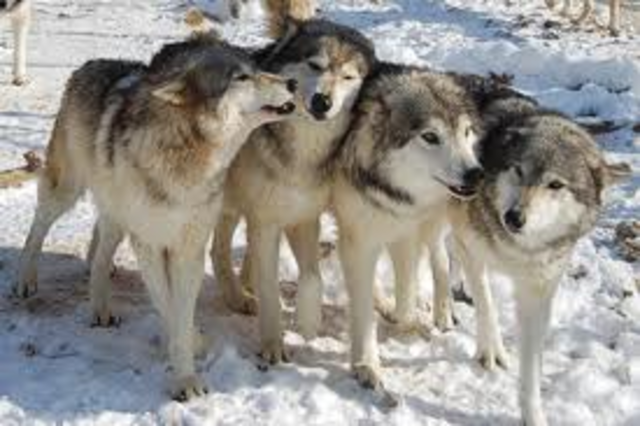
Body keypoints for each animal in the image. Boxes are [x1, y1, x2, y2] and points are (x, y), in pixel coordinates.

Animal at [15, 36, 297, 400]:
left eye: (255, 68)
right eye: (241, 78)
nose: (292, 83)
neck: (187, 157)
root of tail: (90, 63)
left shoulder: (189, 250)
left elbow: (180, 310)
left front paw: (188, 361)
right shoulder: (148, 244)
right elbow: (167, 305)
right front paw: (187, 371)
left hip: (116, 215)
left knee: (101, 253)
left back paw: (101, 307)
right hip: (66, 190)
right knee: (38, 227)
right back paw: (25, 280)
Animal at [209, 5, 376, 365]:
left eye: (348, 77)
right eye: (315, 65)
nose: (323, 101)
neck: (302, 151)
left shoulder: (303, 216)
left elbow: (312, 276)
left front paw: (309, 322)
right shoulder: (266, 221)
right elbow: (271, 290)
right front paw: (273, 345)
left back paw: (242, 292)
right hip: (226, 205)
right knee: (219, 250)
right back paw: (236, 295)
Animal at [330, 63, 484, 391]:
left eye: (466, 132)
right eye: (430, 136)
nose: (476, 174)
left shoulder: (402, 233)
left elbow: (406, 298)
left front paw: (403, 319)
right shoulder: (359, 238)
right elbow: (363, 307)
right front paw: (366, 364)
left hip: (430, 222)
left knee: (438, 257)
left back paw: (439, 311)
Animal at [440, 78, 630, 425]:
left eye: (555, 185)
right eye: (518, 171)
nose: (514, 217)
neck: (518, 250)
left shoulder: (538, 292)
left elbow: (531, 368)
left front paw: (534, 414)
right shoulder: (473, 249)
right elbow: (487, 305)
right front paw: (491, 351)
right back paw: (445, 306)